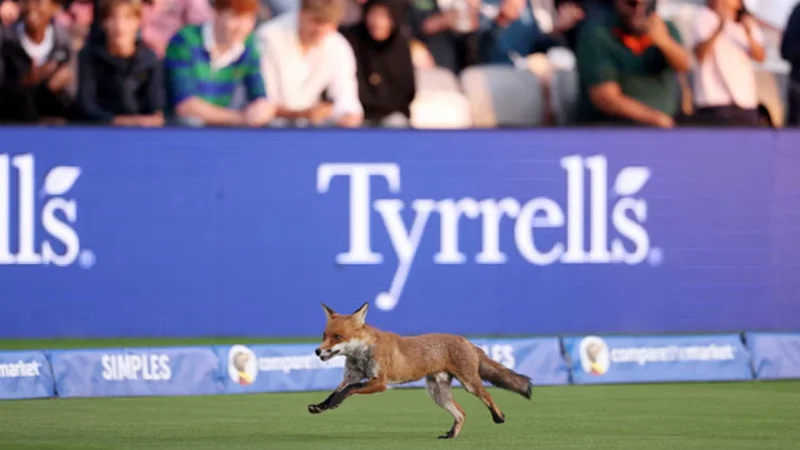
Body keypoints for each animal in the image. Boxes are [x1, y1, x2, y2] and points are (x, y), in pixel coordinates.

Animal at [308, 302, 533, 439]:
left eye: (337, 337)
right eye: (324, 335)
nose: (317, 351)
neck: (361, 354)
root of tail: (465, 340)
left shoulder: (379, 382)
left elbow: (349, 390)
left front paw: (335, 403)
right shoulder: (351, 376)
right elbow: (335, 392)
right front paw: (322, 406)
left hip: (469, 384)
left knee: (486, 395)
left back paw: (499, 416)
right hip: (438, 393)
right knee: (461, 413)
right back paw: (451, 435)